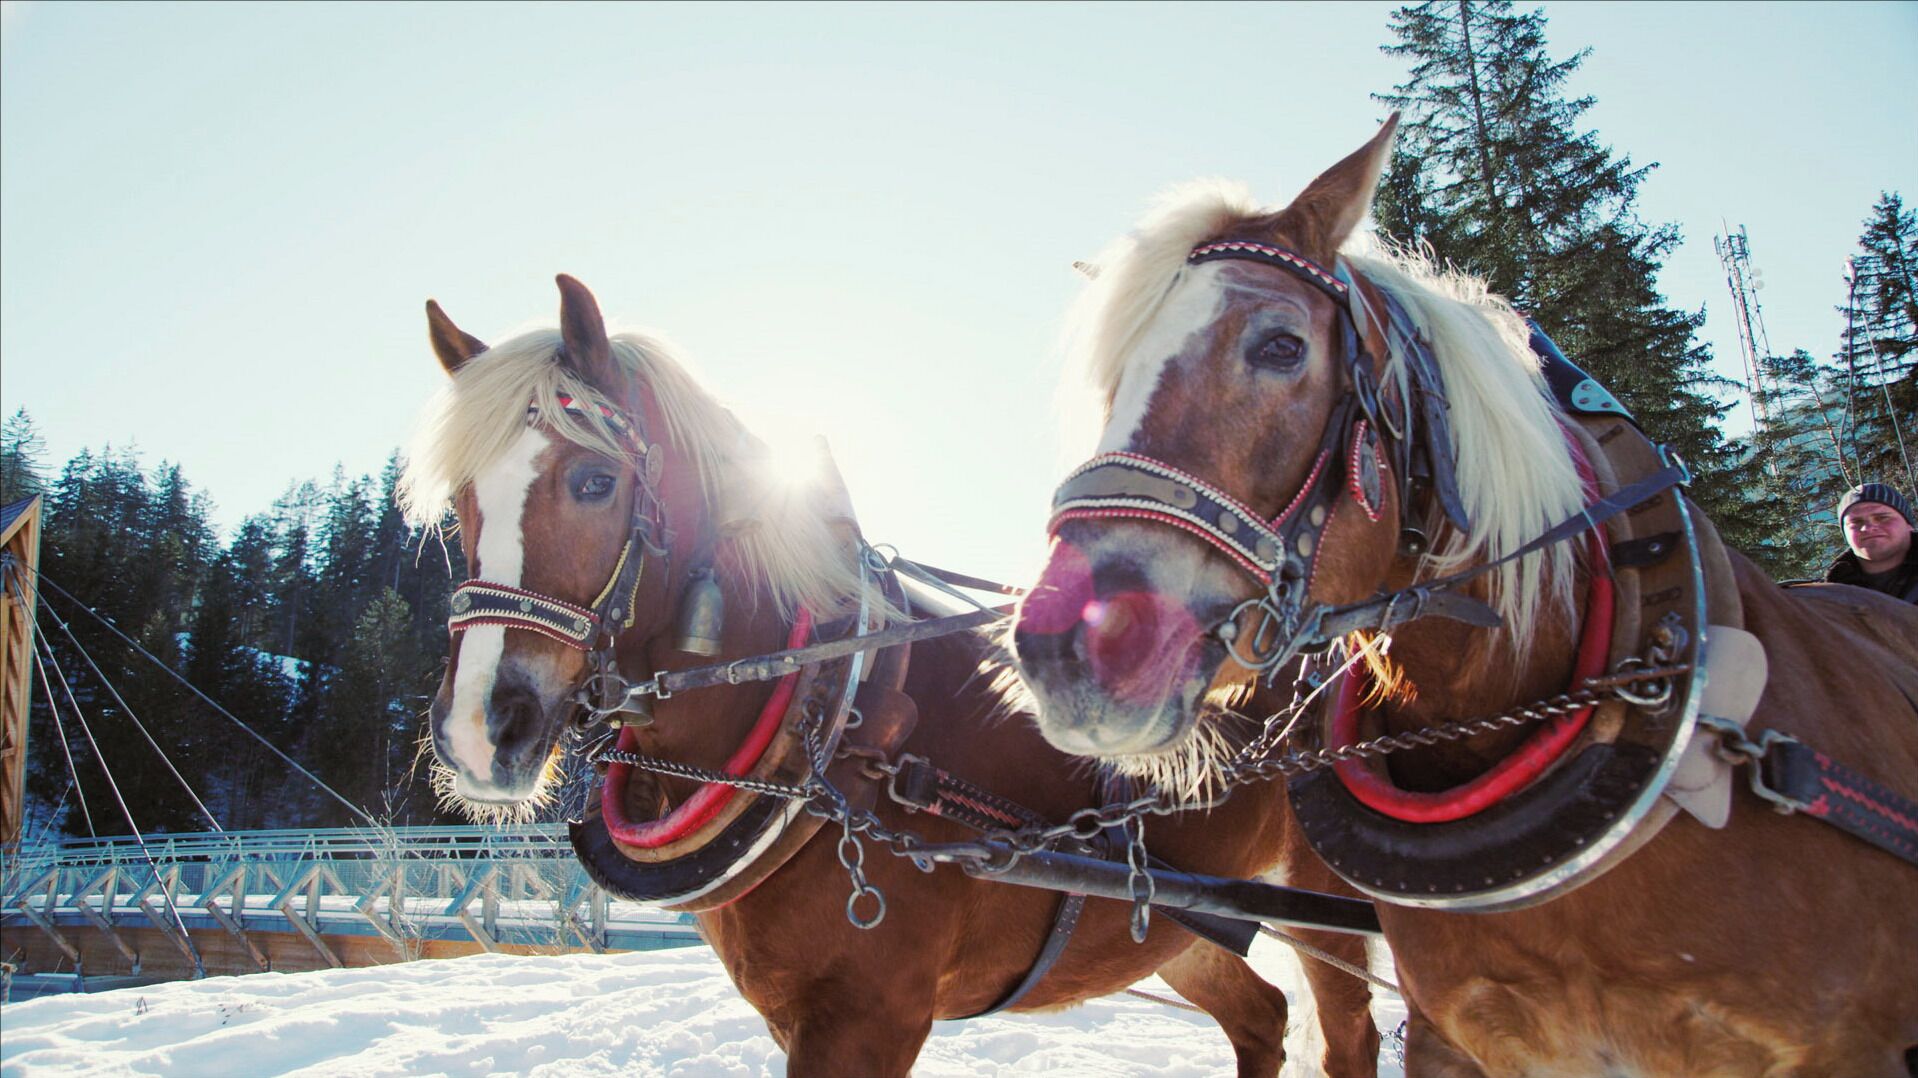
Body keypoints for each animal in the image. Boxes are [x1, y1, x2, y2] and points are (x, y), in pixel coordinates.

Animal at [397, 275, 1384, 1077]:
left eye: (596, 482)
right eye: (462, 502)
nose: (479, 730)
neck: (831, 719)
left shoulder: (869, 1020)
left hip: (1334, 906)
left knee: (1353, 1034)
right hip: (1179, 922)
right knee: (1262, 1018)